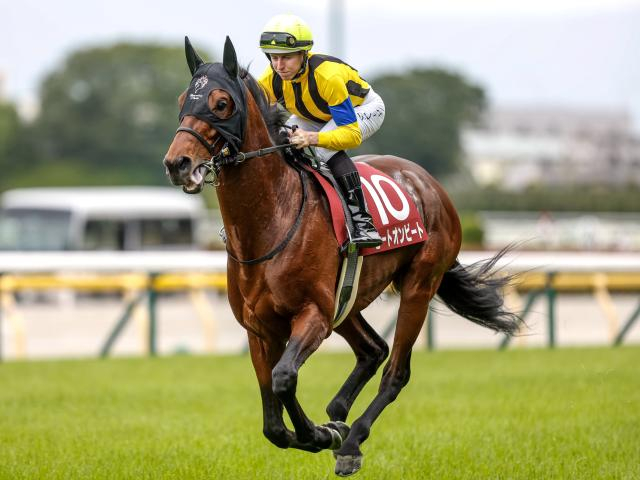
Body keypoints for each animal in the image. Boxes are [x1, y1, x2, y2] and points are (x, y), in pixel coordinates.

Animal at [163, 37, 520, 477]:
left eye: (221, 103)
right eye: (183, 100)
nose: (178, 164)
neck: (272, 220)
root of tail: (429, 183)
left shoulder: (314, 314)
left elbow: (284, 378)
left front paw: (321, 435)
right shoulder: (259, 328)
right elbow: (272, 420)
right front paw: (321, 428)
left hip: (418, 286)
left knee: (395, 371)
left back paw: (350, 440)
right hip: (347, 300)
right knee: (373, 350)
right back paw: (339, 415)